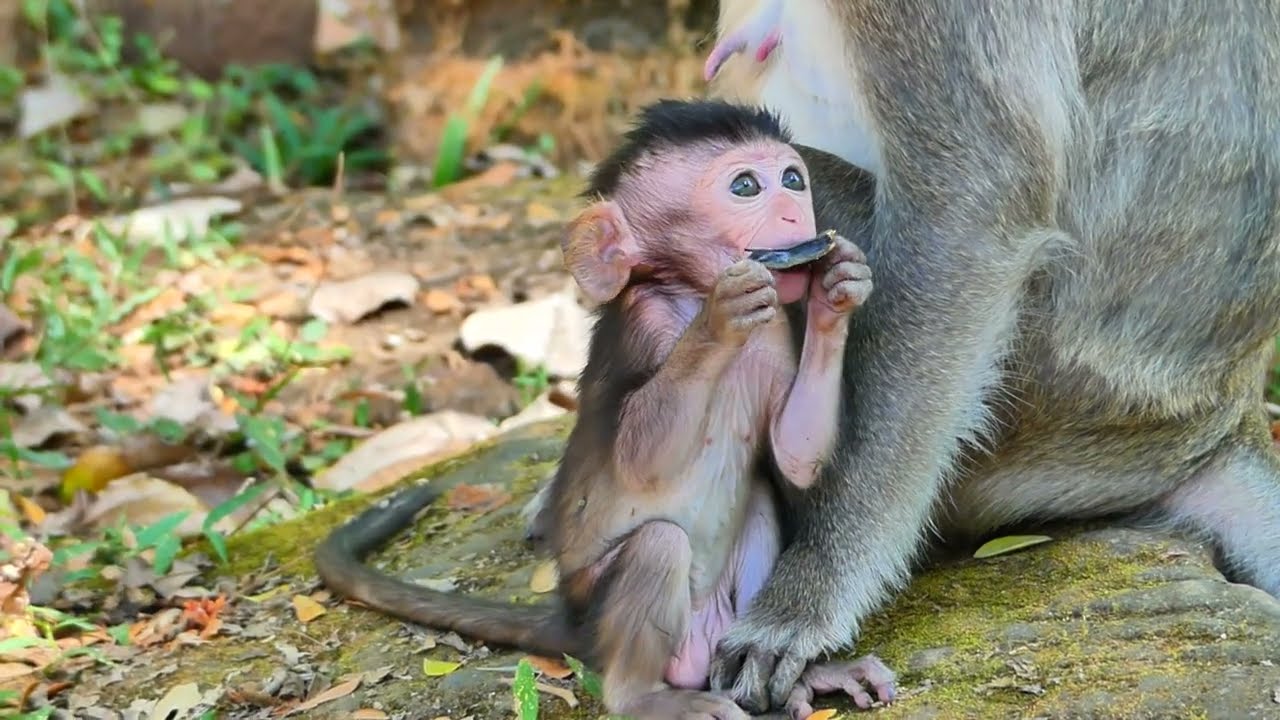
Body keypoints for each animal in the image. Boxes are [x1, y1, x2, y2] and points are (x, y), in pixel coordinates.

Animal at [315, 99, 897, 720]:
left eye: (792, 179)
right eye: (746, 186)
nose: (795, 215)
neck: (685, 290)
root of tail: (575, 624)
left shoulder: (772, 339)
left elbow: (794, 456)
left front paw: (837, 290)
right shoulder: (647, 324)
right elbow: (642, 464)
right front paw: (719, 316)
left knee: (760, 505)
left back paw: (803, 676)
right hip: (608, 611)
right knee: (657, 546)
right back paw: (645, 696)